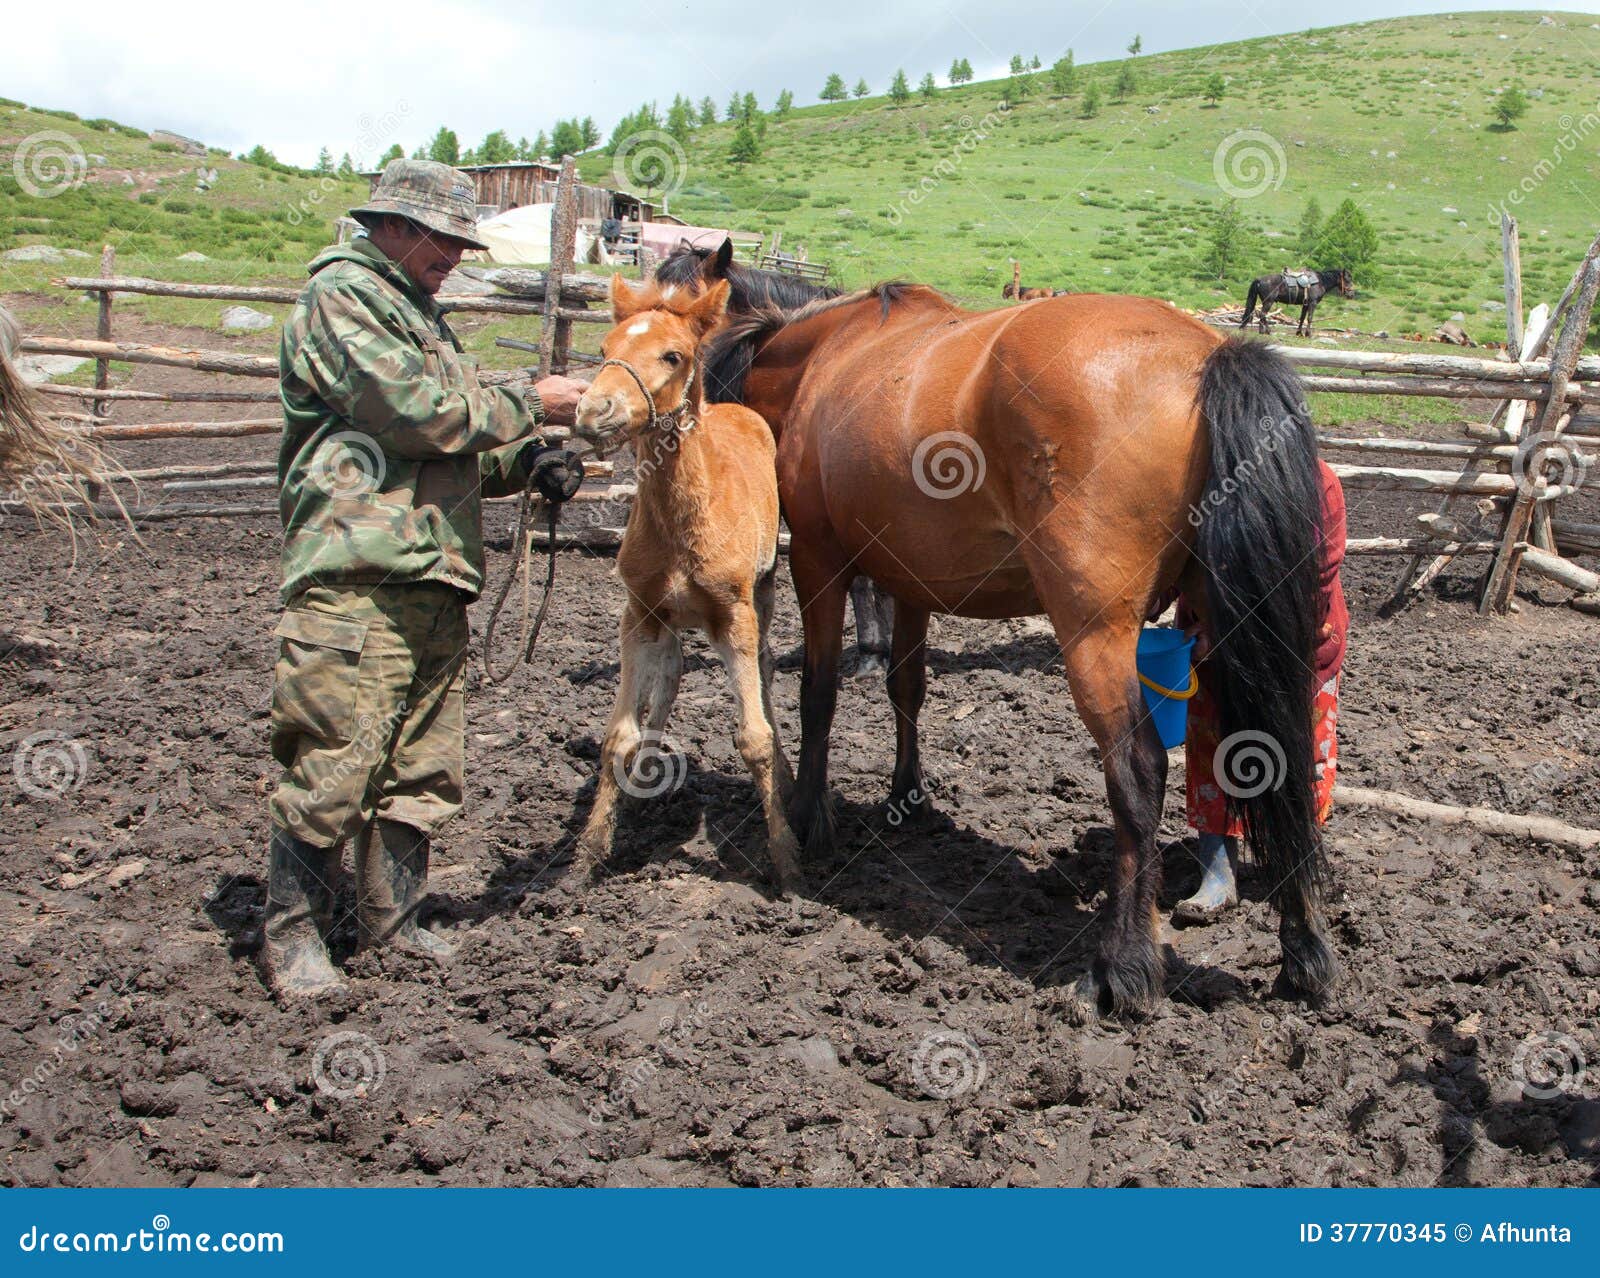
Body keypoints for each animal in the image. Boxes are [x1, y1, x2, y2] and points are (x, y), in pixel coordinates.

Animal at [572, 276, 800, 902]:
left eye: (673, 356)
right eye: (604, 348)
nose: (592, 411)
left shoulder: (735, 614)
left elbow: (753, 736)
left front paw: (787, 859)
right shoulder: (638, 614)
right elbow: (617, 733)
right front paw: (588, 853)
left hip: (764, 592)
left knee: (765, 669)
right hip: (668, 623)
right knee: (671, 676)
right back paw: (650, 771)